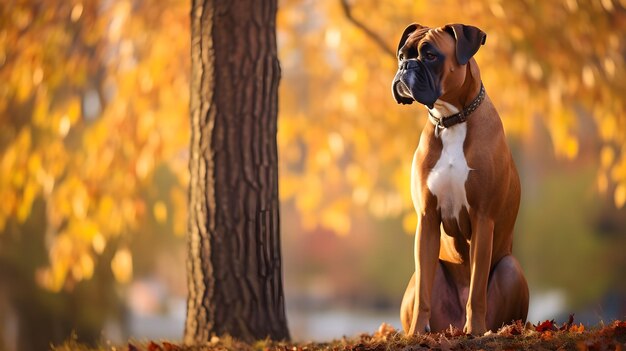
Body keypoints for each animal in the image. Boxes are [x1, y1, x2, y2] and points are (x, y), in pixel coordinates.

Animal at [390, 23, 528, 336]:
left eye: (430, 55)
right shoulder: (427, 219)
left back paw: (480, 330)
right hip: (421, 278)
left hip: (511, 269)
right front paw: (415, 334)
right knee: (423, 282)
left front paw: (475, 330)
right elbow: (424, 295)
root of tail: (450, 329)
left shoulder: (483, 219)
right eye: (402, 55)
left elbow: (476, 290)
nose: (404, 66)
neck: (452, 120)